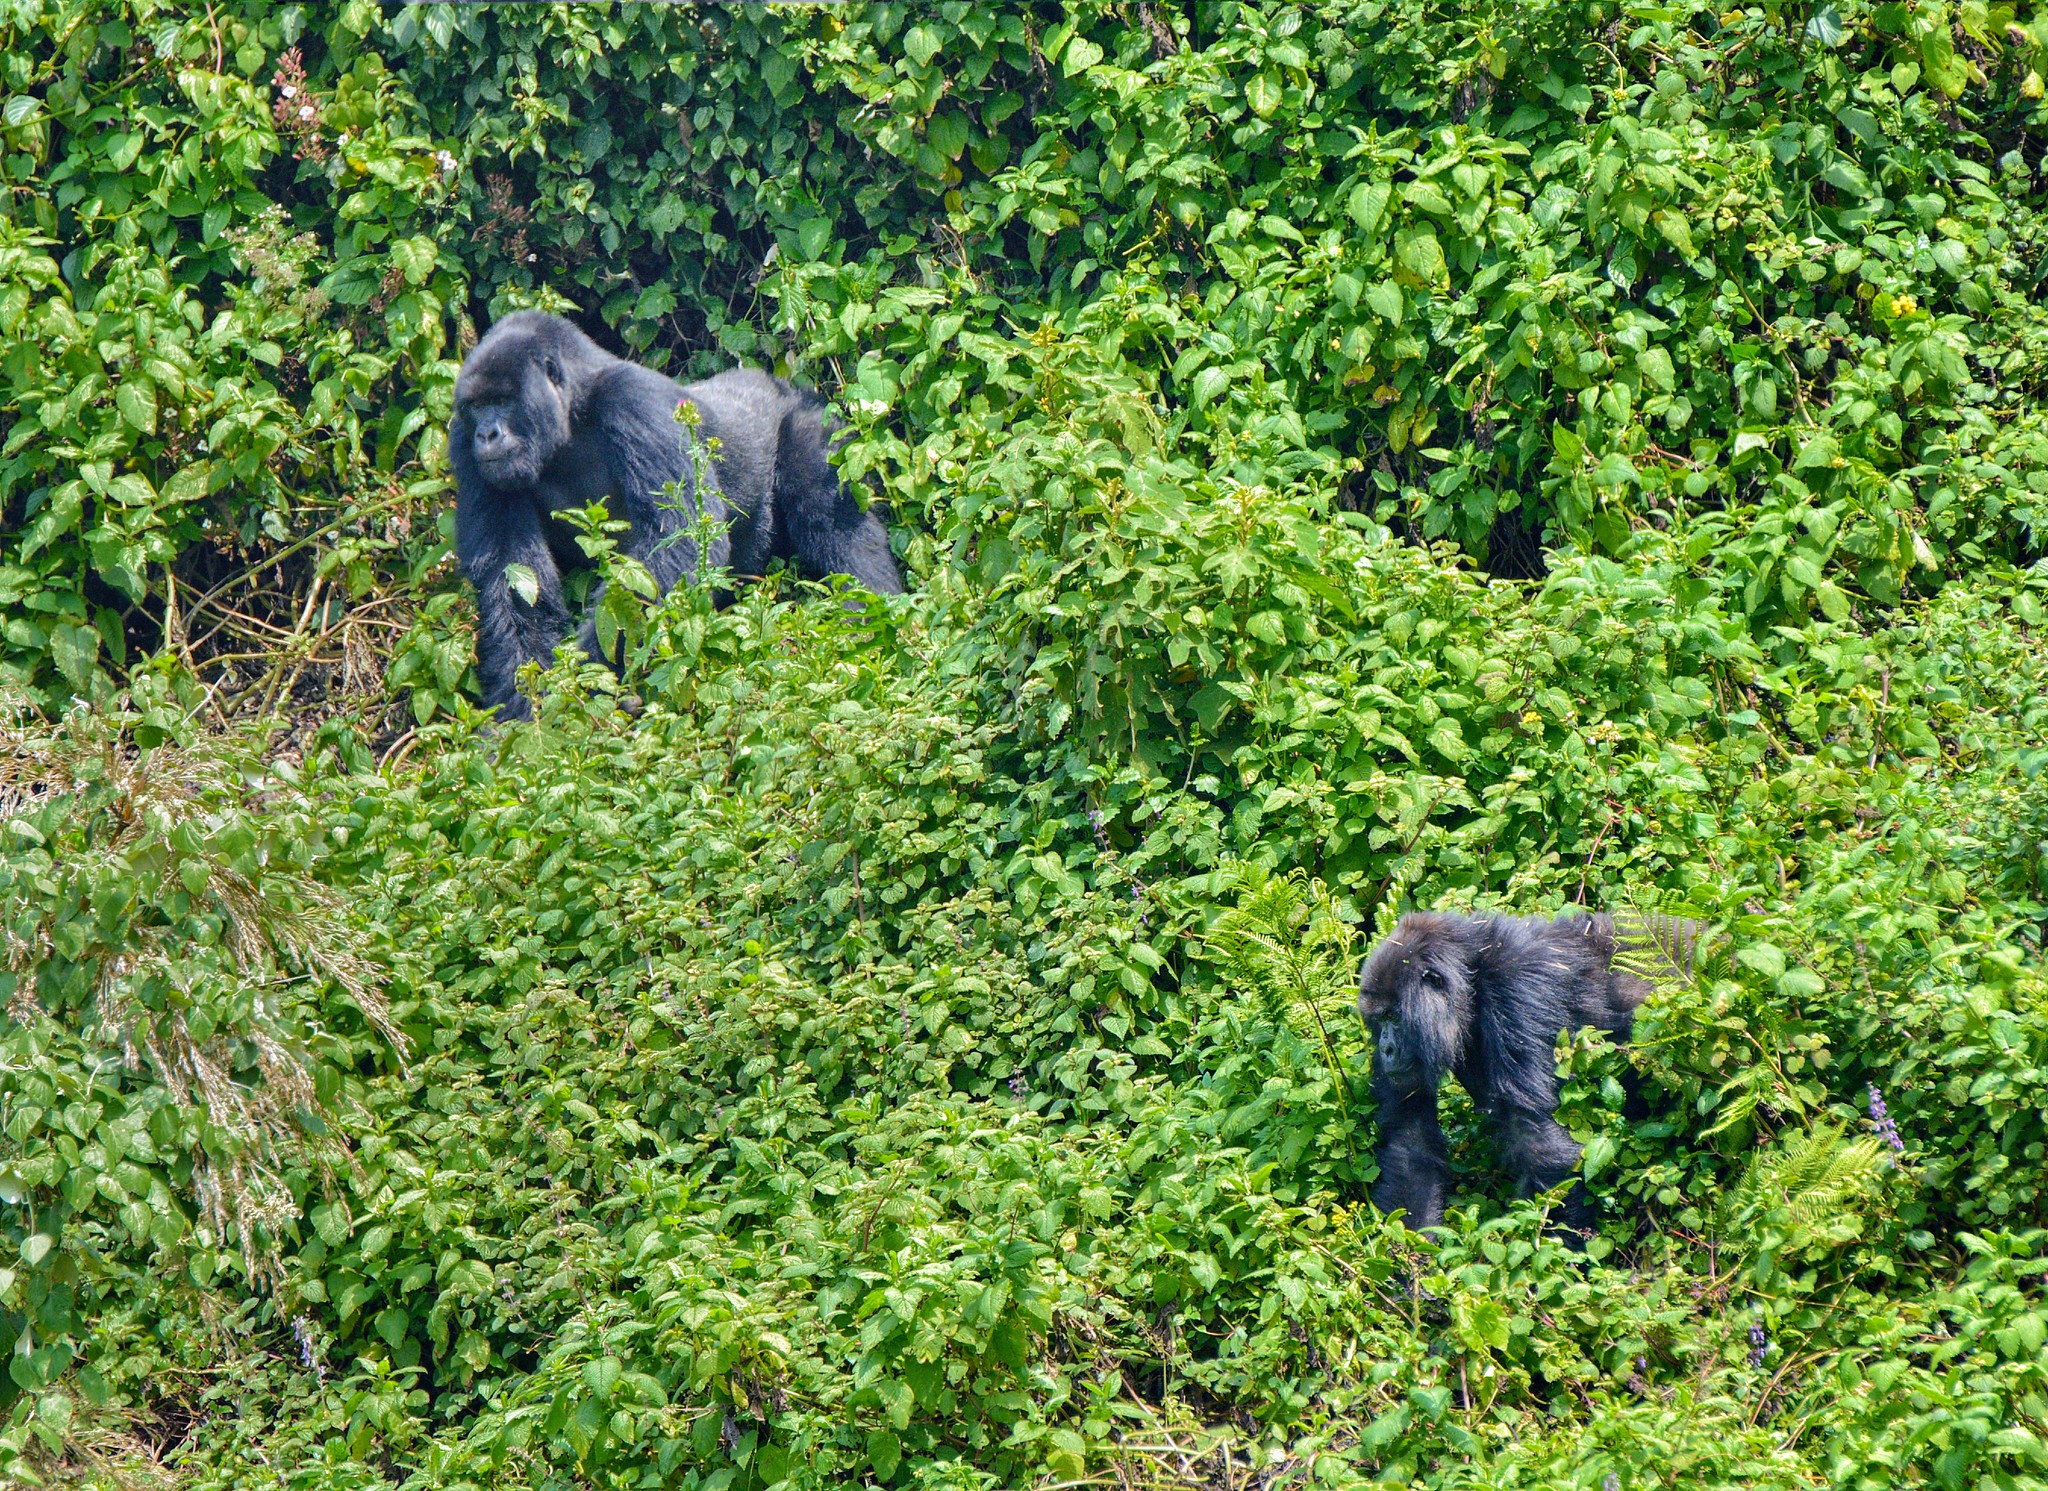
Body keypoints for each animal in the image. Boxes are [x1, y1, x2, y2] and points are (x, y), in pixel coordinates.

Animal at [452, 309, 901, 716]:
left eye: (503, 401)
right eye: (476, 406)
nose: (486, 434)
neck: (573, 412)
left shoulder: (634, 402)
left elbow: (676, 541)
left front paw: (585, 685)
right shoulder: (462, 441)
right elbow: (512, 579)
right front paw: (521, 710)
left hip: (815, 418)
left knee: (833, 521)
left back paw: (872, 623)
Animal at [1359, 909, 1662, 1237]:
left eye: (1394, 1016)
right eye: (1378, 1019)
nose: (1386, 1048)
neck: (1473, 975)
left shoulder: (1517, 990)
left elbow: (1537, 1137)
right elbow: (1410, 1143)